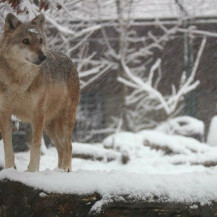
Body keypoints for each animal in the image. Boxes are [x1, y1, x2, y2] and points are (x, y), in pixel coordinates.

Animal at [0, 13, 80, 172]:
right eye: (25, 41)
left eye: (41, 40)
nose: (44, 57)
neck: (19, 81)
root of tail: (70, 60)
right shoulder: (4, 113)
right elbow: (8, 147)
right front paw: (10, 169)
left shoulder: (37, 114)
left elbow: (35, 147)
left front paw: (32, 171)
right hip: (49, 126)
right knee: (61, 148)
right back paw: (58, 170)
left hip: (65, 119)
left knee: (68, 145)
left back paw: (65, 169)